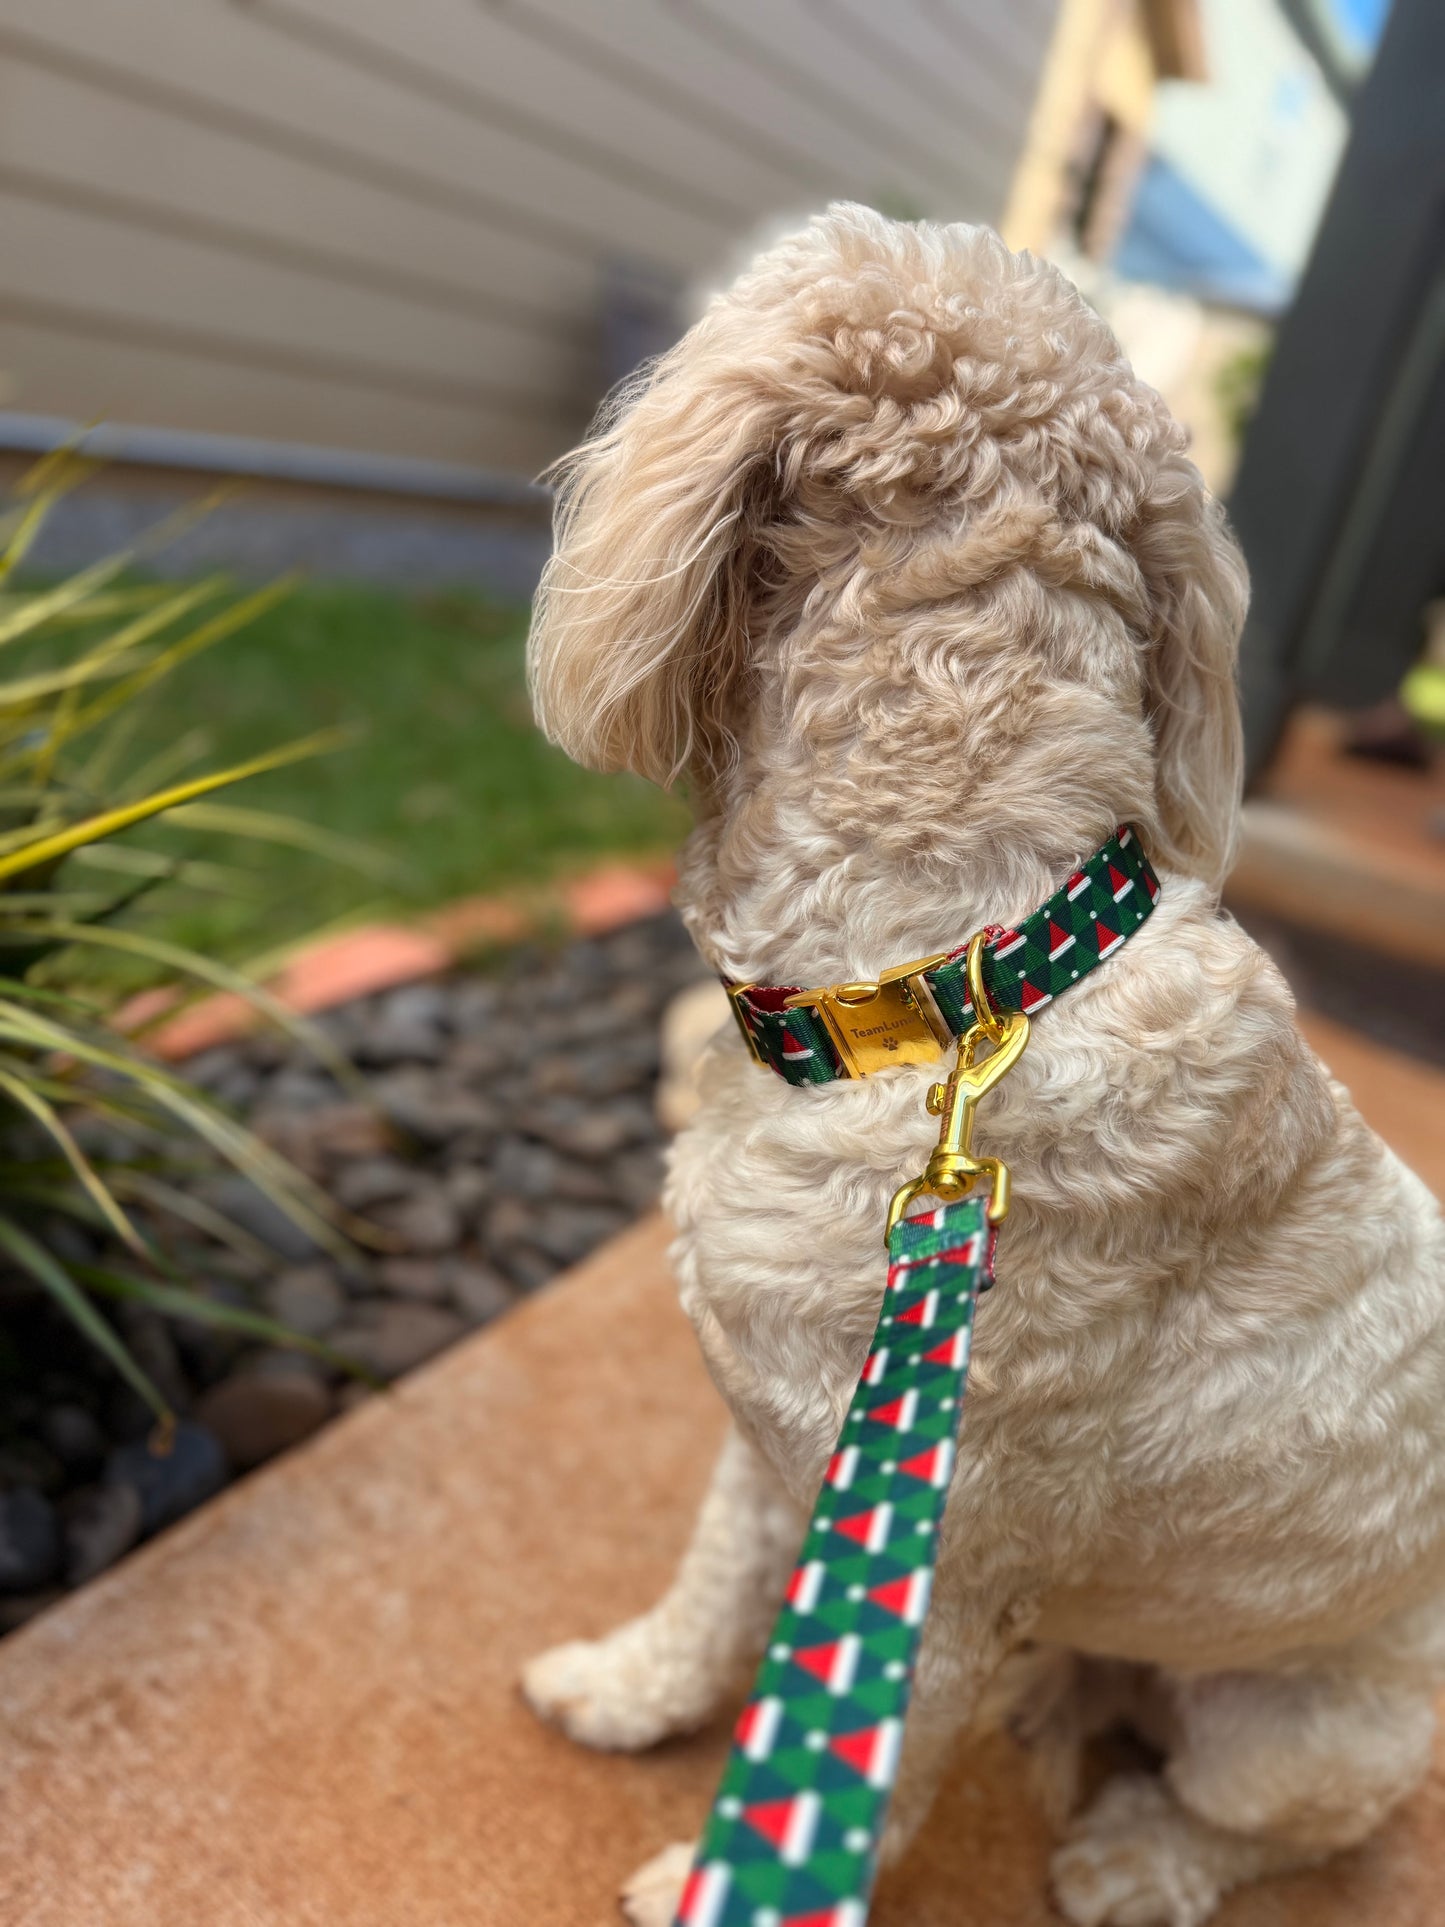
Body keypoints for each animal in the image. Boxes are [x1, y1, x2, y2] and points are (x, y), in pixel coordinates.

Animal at [520, 203, 1445, 1919]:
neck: (960, 975)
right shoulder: (795, 1446)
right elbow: (716, 1586)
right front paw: (628, 1687)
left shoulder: (939, 1577)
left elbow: (863, 1781)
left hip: (1304, 1726)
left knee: (1263, 1818)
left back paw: (1136, 1858)